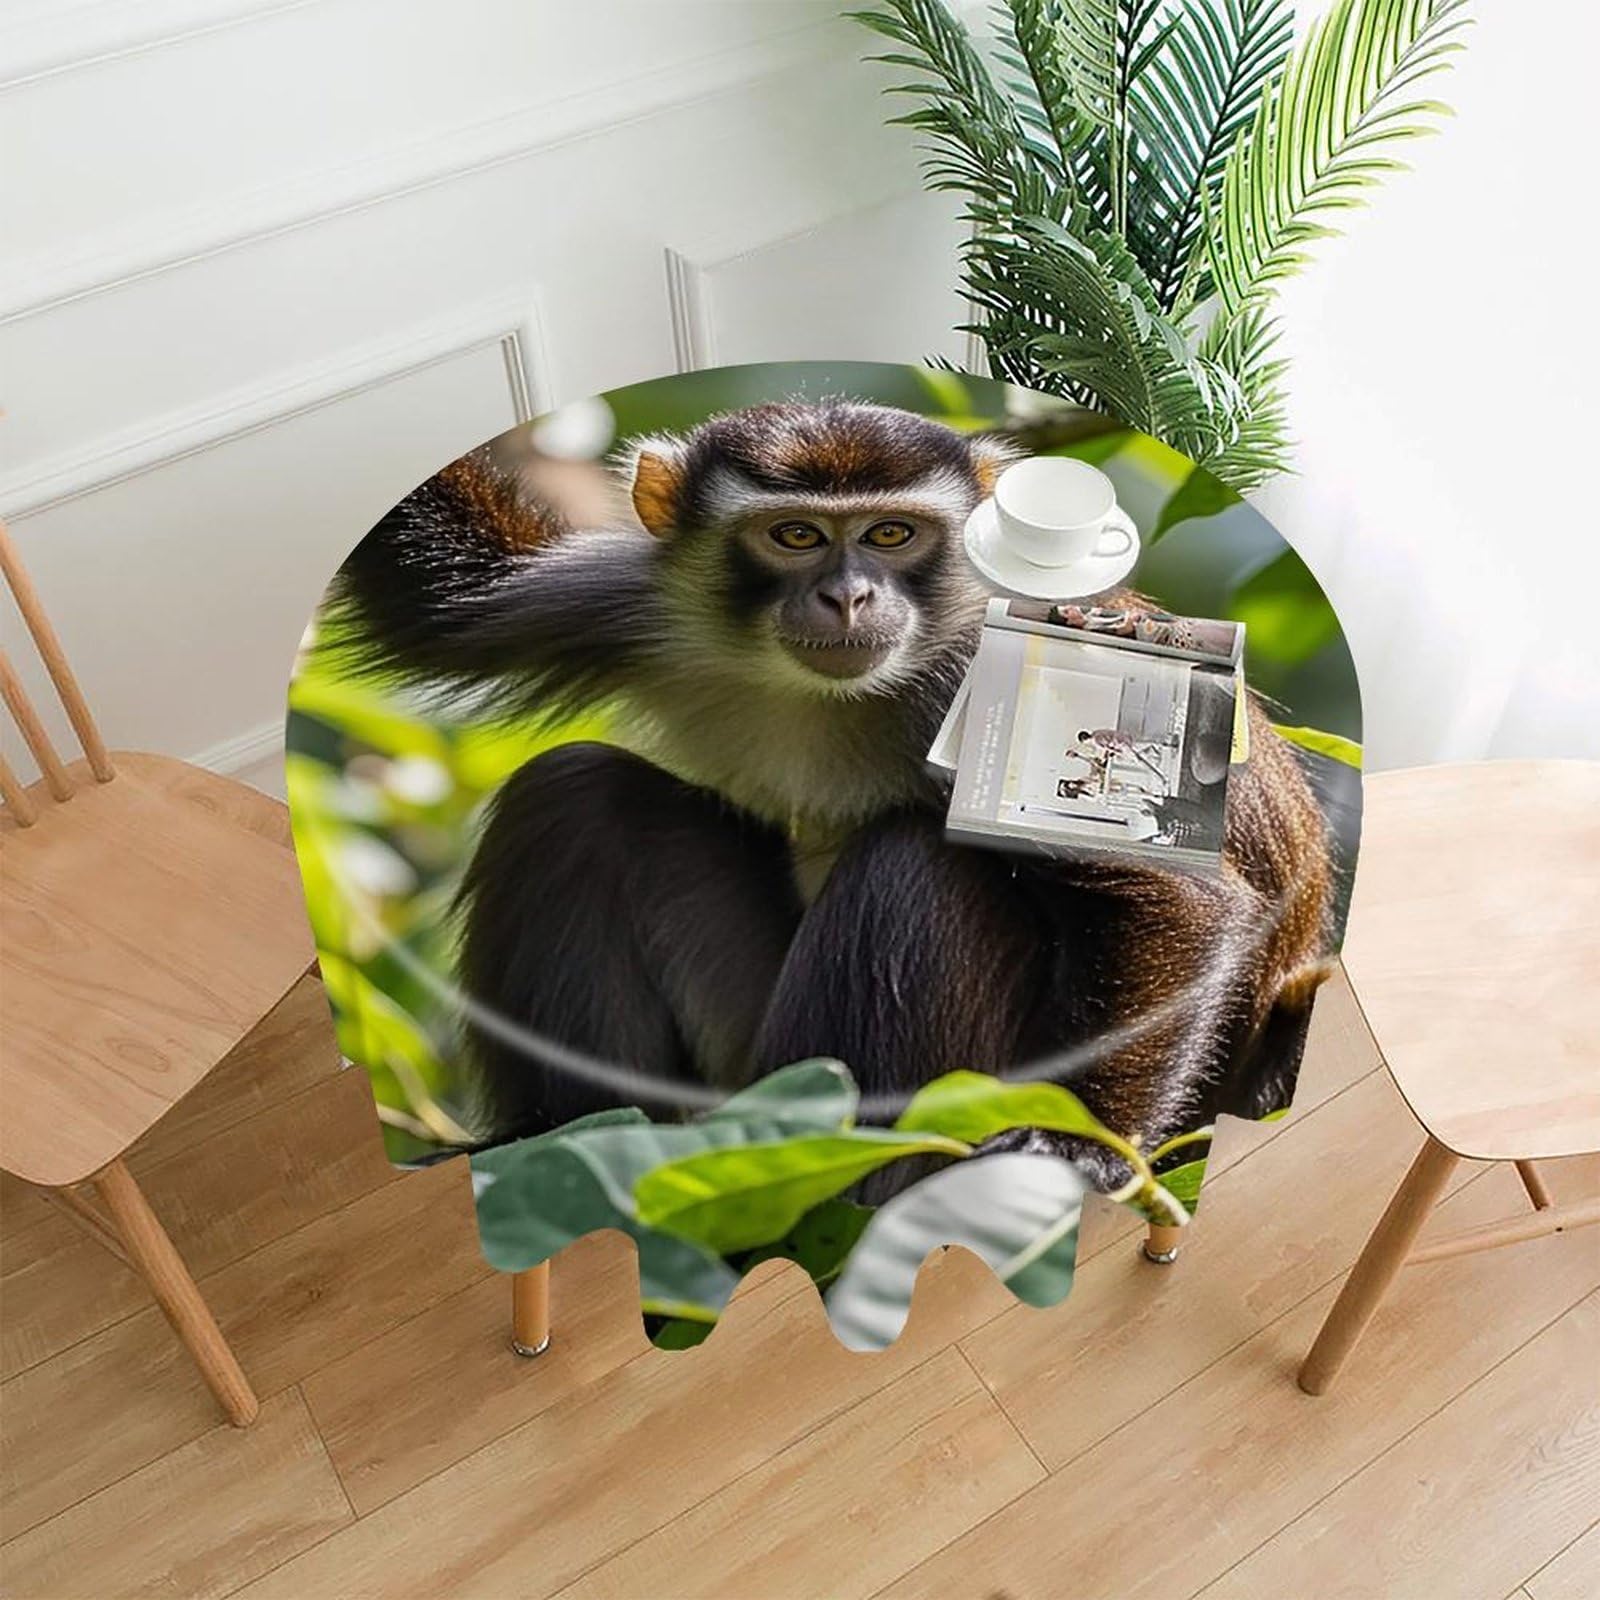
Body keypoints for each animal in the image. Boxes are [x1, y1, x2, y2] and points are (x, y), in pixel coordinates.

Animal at [327, 399, 1335, 1187]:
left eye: (890, 533)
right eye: (797, 535)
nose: (848, 598)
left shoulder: (980, 670)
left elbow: (1183, 899)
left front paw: (1077, 1150)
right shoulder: (625, 596)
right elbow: (433, 598)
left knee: (916, 858)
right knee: (576, 795)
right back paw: (569, 1133)